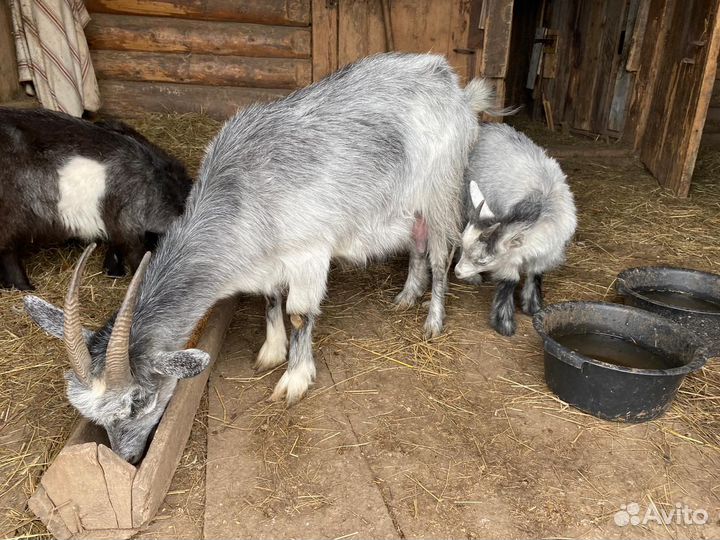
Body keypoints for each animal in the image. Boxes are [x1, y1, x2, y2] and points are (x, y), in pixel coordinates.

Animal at [0, 108, 192, 290]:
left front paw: (113, 272)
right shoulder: (129, 225)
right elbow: (136, 257)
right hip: (12, 219)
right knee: (8, 253)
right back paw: (25, 287)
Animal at [24, 53, 494, 462]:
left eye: (140, 400)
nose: (128, 457)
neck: (241, 199)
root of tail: (452, 84)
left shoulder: (309, 253)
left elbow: (299, 314)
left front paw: (294, 380)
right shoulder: (268, 261)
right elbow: (270, 299)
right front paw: (271, 352)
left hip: (441, 190)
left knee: (440, 255)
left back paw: (432, 320)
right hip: (408, 206)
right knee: (416, 245)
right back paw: (406, 295)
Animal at [455, 123, 577, 336]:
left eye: (482, 260)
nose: (457, 272)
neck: (542, 205)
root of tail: (488, 126)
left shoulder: (547, 251)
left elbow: (535, 273)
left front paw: (533, 307)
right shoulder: (509, 258)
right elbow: (509, 281)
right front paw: (504, 324)